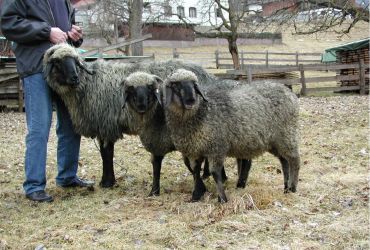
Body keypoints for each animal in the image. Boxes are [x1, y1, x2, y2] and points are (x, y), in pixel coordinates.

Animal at [163, 69, 300, 203]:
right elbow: (195, 171)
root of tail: (288, 91)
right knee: (284, 161)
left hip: (286, 134)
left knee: (294, 160)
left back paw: (293, 187)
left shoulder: (216, 148)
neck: (202, 111)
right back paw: (286, 187)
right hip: (274, 142)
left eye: (194, 85)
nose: (191, 100)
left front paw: (222, 199)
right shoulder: (193, 151)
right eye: (175, 85)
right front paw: (195, 196)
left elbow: (215, 173)